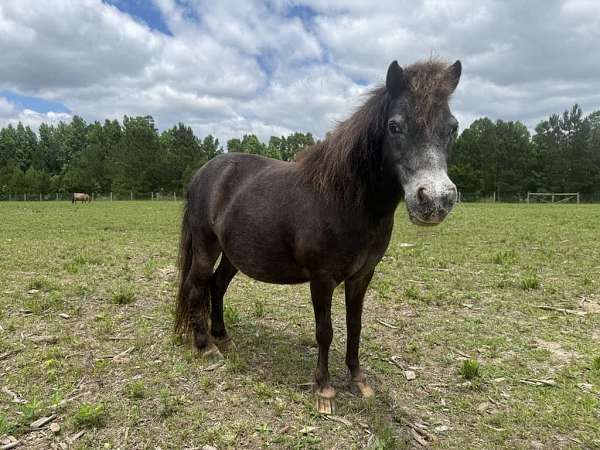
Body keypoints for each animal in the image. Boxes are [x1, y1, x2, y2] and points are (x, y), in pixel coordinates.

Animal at [176, 58, 462, 414]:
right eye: (395, 126)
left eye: (453, 127)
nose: (435, 200)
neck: (344, 198)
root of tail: (204, 172)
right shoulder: (322, 279)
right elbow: (324, 331)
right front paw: (324, 388)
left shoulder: (362, 276)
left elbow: (355, 325)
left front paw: (358, 379)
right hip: (205, 246)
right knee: (195, 286)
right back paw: (206, 348)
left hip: (233, 254)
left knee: (216, 285)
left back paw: (223, 338)